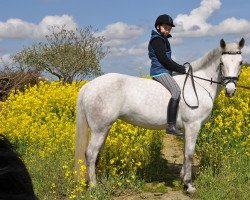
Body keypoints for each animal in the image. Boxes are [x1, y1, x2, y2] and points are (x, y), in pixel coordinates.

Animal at [75, 38, 245, 193]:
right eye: (222, 63)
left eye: (240, 63)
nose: (230, 90)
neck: (198, 85)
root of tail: (89, 86)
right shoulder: (193, 125)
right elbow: (190, 153)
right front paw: (189, 185)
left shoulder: (187, 128)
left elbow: (185, 152)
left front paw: (182, 179)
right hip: (100, 128)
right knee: (91, 154)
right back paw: (94, 187)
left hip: (104, 128)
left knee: (96, 154)